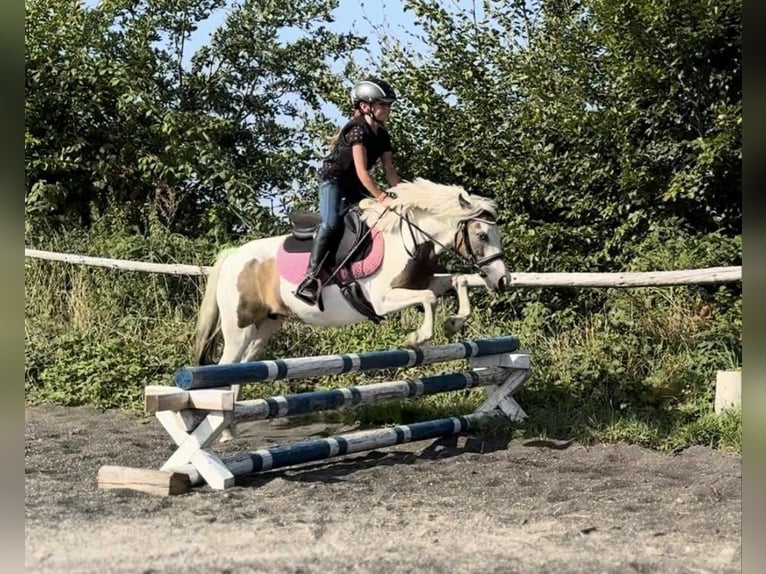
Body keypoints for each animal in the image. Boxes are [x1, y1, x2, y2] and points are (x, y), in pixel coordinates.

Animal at [192, 180, 510, 378]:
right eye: (482, 235)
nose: (503, 280)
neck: (410, 237)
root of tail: (233, 256)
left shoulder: (416, 284)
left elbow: (458, 281)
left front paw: (453, 323)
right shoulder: (382, 300)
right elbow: (430, 298)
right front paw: (416, 337)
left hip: (265, 327)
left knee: (241, 369)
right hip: (239, 328)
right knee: (226, 366)